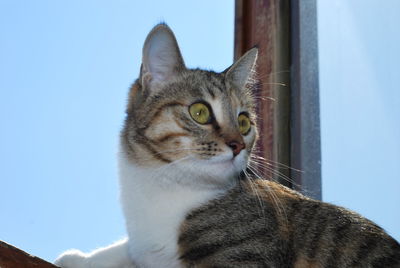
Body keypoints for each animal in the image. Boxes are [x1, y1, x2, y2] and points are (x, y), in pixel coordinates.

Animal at [55, 23, 400, 268]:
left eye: (244, 122)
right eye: (200, 112)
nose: (236, 145)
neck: (162, 188)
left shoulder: (243, 256)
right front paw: (79, 258)